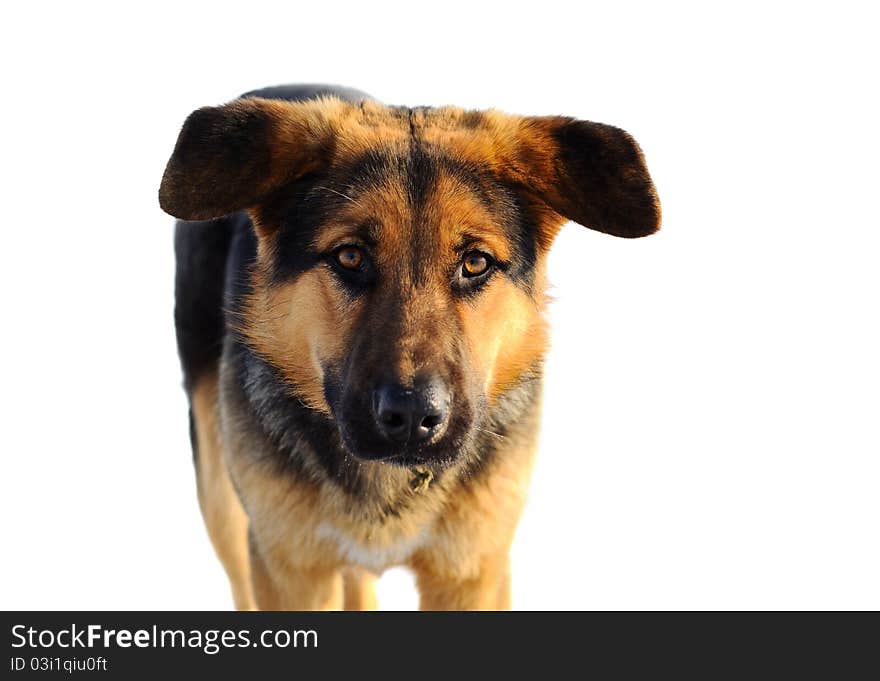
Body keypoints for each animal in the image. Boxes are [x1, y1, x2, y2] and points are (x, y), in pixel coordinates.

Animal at [158, 82, 660, 608]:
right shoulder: (290, 569)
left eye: (476, 263)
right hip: (222, 499)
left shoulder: (471, 570)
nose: (412, 415)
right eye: (350, 256)